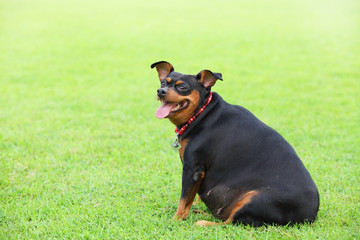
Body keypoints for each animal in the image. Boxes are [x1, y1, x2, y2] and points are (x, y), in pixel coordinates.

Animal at [150, 61, 320, 226]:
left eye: (182, 87)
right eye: (163, 83)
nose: (161, 91)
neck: (201, 113)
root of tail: (309, 216)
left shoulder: (192, 169)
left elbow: (184, 201)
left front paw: (176, 220)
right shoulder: (199, 173)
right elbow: (193, 197)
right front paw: (195, 207)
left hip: (253, 199)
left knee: (230, 222)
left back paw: (203, 222)